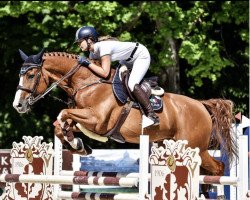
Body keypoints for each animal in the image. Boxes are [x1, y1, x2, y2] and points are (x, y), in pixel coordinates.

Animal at [13, 48, 238, 181]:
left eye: (31, 75)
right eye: (21, 75)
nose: (18, 105)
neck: (87, 83)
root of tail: (201, 106)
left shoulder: (96, 121)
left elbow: (62, 113)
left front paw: (76, 143)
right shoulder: (86, 120)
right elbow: (62, 123)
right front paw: (77, 145)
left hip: (195, 147)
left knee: (218, 168)